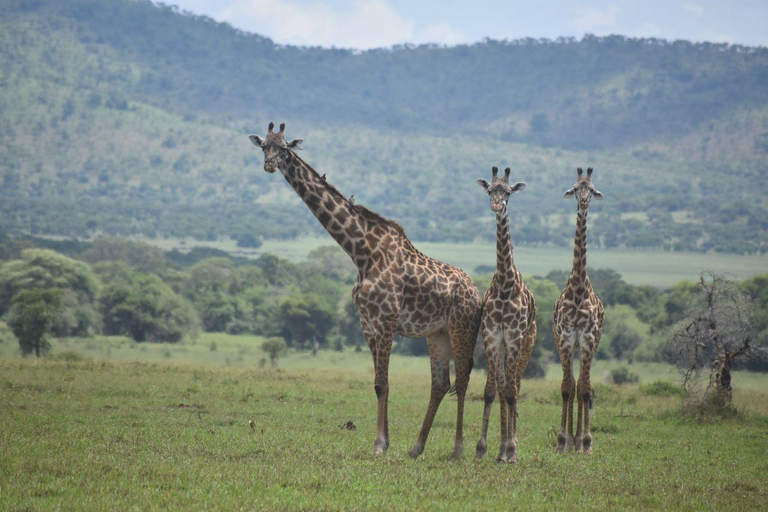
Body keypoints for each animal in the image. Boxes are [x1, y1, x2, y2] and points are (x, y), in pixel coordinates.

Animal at [249, 123, 484, 456]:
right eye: (263, 146)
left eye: (283, 148)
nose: (269, 165)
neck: (361, 252)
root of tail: (477, 293)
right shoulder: (367, 324)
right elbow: (376, 383)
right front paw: (383, 442)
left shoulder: (385, 322)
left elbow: (384, 383)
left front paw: (380, 445)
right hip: (437, 334)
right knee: (440, 383)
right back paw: (416, 447)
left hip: (462, 328)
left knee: (462, 380)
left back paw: (458, 449)